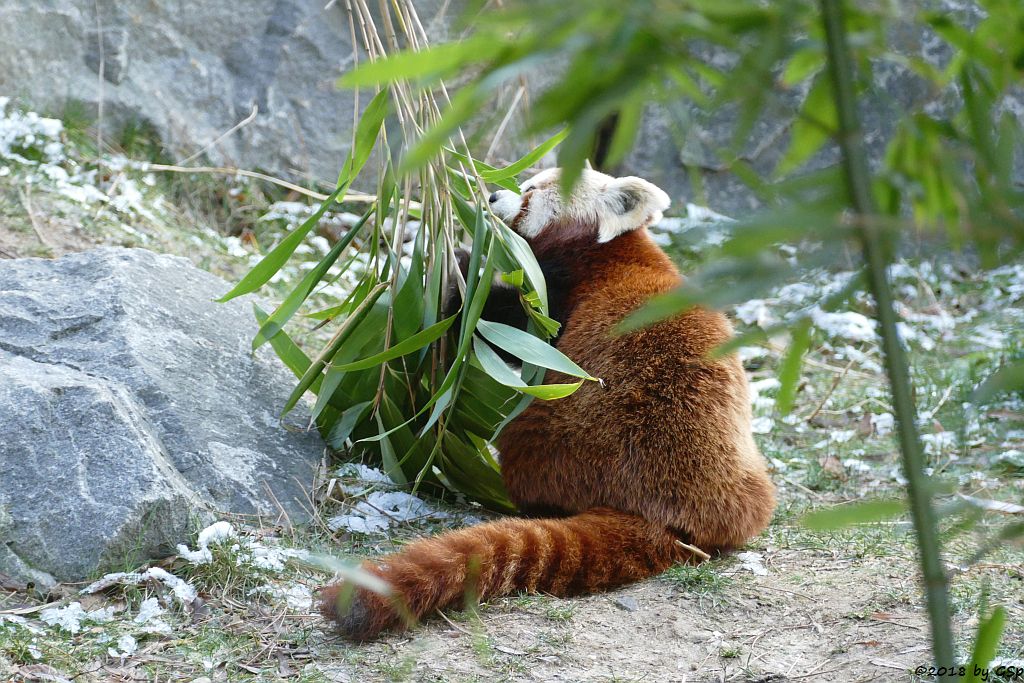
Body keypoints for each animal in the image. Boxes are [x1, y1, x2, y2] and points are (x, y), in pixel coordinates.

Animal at [319, 165, 774, 643]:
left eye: (530, 190)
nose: (492, 195)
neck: (611, 250)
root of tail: (659, 511)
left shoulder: (557, 300)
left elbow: (506, 328)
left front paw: (456, 267)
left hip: (562, 436)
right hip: (748, 483)